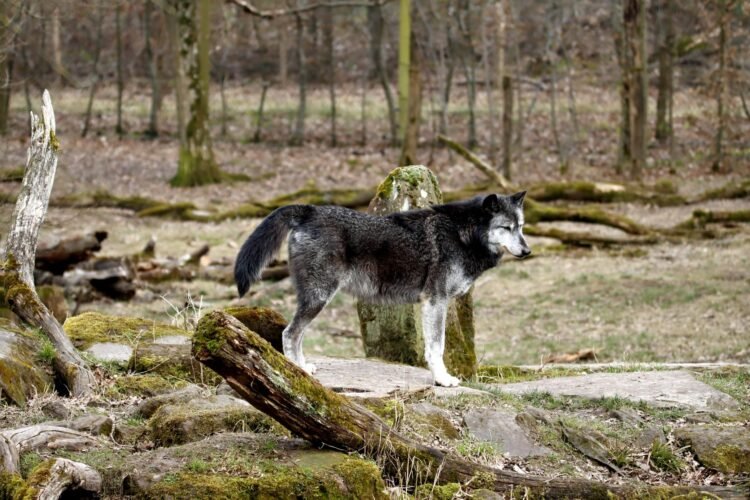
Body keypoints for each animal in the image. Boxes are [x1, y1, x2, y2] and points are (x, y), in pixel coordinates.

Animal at [234, 191, 531, 387]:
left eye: (521, 227)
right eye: (506, 227)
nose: (527, 251)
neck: (463, 234)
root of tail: (309, 210)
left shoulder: (435, 303)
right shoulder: (436, 301)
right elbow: (437, 347)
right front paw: (443, 380)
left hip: (315, 300)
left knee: (295, 335)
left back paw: (302, 367)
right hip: (319, 298)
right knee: (289, 333)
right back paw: (297, 374)